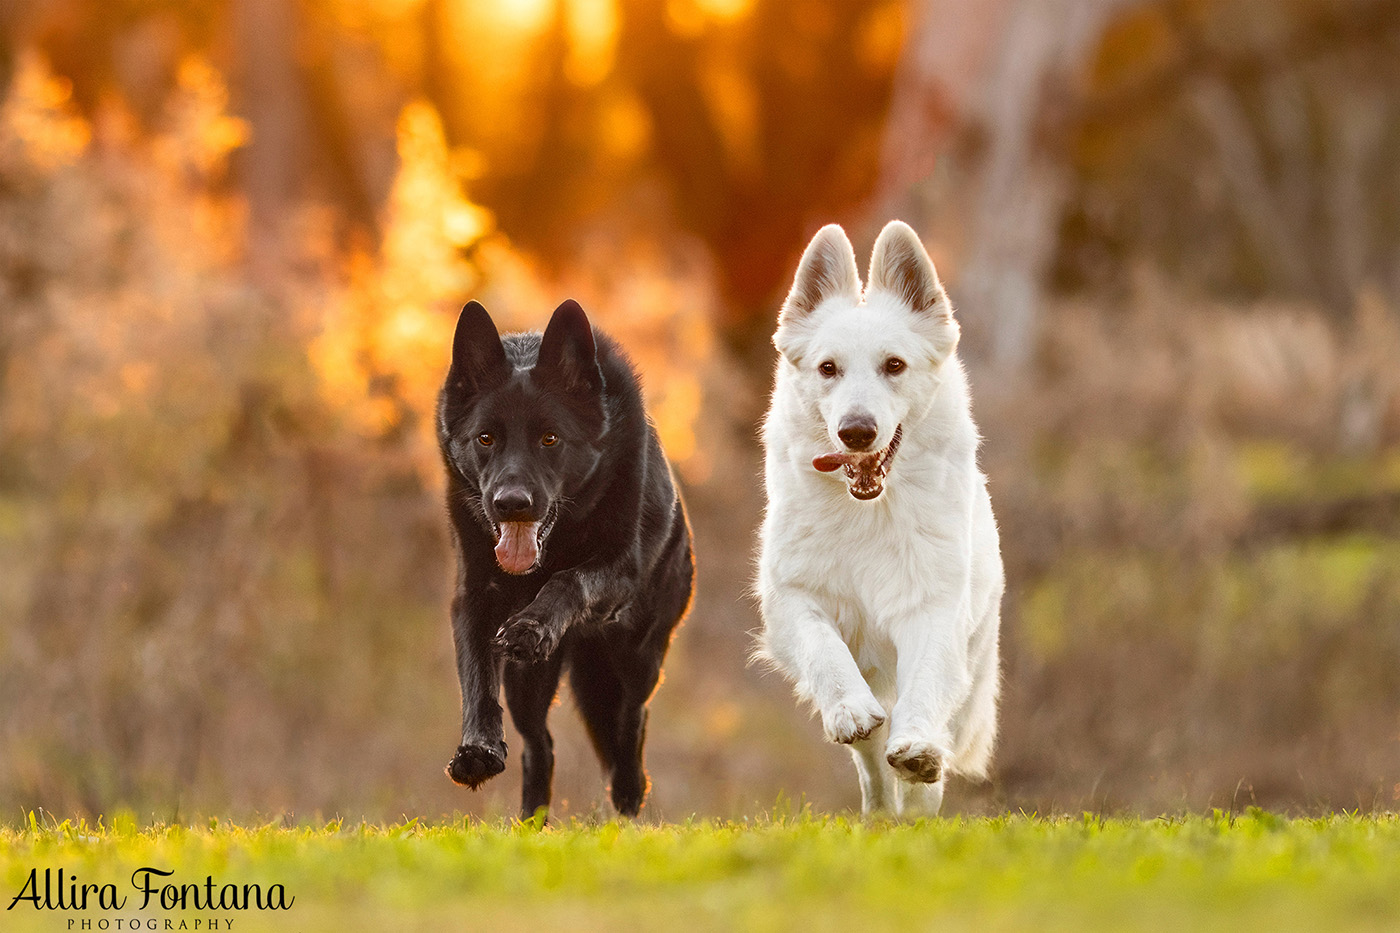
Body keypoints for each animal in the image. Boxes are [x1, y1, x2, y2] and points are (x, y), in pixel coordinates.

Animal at [436, 298, 694, 812]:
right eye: (485, 438)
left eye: (550, 438)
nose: (511, 503)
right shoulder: (473, 596)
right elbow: (475, 675)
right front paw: (477, 750)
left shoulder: (617, 571)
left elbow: (569, 579)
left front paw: (532, 625)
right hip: (529, 682)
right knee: (541, 746)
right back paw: (530, 817)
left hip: (636, 657)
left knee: (630, 718)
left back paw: (629, 786)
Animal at [761, 219, 1002, 812]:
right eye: (828, 368)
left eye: (894, 365)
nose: (856, 432)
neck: (867, 510)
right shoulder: (792, 598)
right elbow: (823, 651)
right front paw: (848, 709)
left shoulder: (932, 609)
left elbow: (924, 687)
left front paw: (916, 748)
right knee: (870, 761)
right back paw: (879, 809)